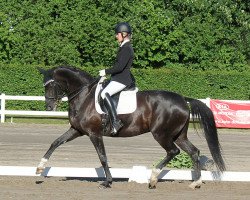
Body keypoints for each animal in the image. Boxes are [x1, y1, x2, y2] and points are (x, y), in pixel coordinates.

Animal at [36, 65, 225, 189]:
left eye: (51, 85)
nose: (49, 107)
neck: (84, 95)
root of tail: (183, 99)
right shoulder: (77, 130)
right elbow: (55, 142)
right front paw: (40, 167)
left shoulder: (94, 133)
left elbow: (103, 157)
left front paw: (108, 181)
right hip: (178, 135)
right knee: (193, 152)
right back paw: (196, 183)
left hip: (161, 134)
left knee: (173, 151)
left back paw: (153, 178)